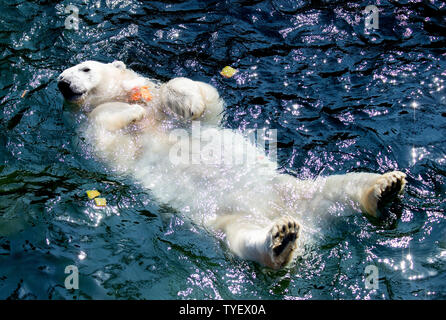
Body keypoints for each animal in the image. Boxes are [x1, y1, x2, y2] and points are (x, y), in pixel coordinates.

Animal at [57, 60, 406, 270]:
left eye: (85, 68)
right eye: (62, 77)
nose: (63, 82)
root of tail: (312, 229)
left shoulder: (181, 113)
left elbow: (206, 100)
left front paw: (184, 100)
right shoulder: (98, 141)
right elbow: (104, 133)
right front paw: (132, 112)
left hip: (292, 188)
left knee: (338, 186)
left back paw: (386, 186)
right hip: (230, 220)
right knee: (246, 239)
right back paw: (282, 239)